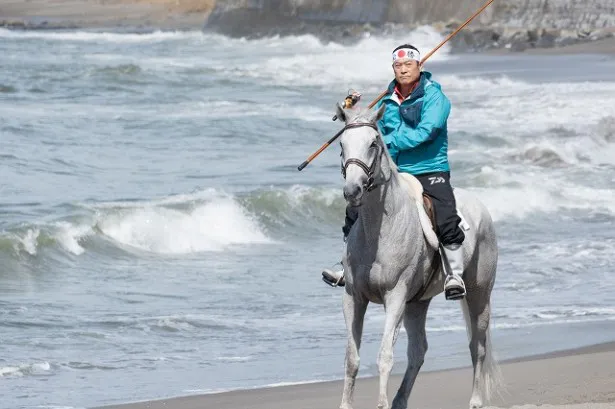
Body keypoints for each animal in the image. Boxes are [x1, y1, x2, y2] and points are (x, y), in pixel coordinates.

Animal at [332, 103, 500, 406]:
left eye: (373, 143)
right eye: (342, 144)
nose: (352, 190)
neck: (380, 229)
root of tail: (480, 205)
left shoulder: (395, 296)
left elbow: (385, 356)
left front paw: (382, 404)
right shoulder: (353, 297)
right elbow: (352, 358)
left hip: (479, 294)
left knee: (477, 346)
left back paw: (475, 401)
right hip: (417, 303)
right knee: (418, 351)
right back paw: (401, 401)